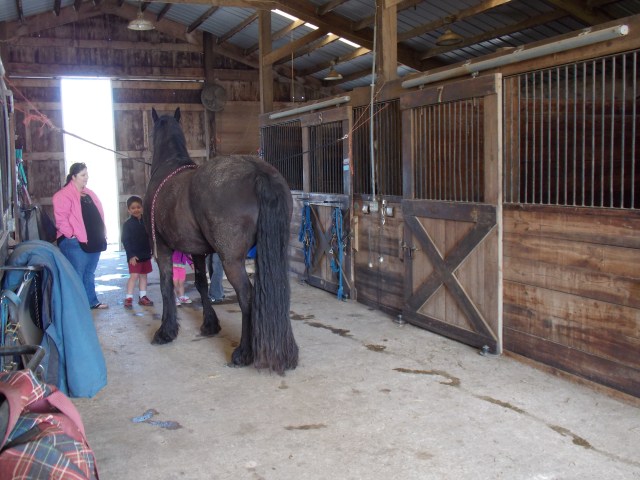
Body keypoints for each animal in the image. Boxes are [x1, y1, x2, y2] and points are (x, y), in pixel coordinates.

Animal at [143, 107, 298, 374]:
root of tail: (258, 172)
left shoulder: (161, 248)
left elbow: (165, 286)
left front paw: (165, 331)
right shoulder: (196, 251)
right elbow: (201, 284)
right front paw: (209, 324)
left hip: (232, 261)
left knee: (247, 297)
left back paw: (243, 353)